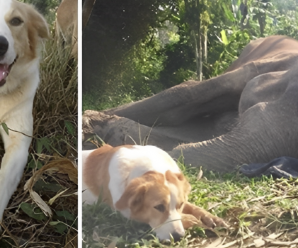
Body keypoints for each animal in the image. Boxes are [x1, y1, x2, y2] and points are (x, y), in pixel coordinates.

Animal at [82, 144, 227, 241]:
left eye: (179, 205)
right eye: (158, 207)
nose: (178, 237)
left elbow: (192, 206)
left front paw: (209, 217)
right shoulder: (127, 213)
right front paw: (192, 220)